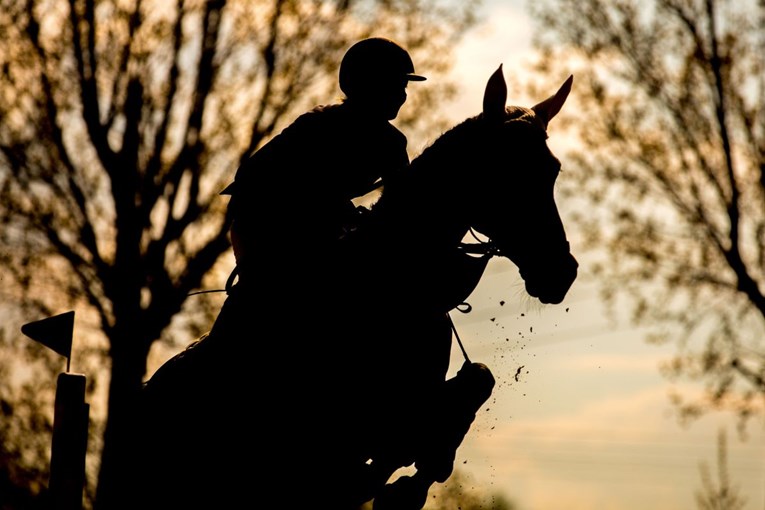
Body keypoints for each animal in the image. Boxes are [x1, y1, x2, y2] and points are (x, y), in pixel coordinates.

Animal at [136, 67, 580, 510]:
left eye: (552, 170)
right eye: (505, 170)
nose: (562, 272)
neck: (390, 286)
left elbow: (474, 385)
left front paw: (414, 478)